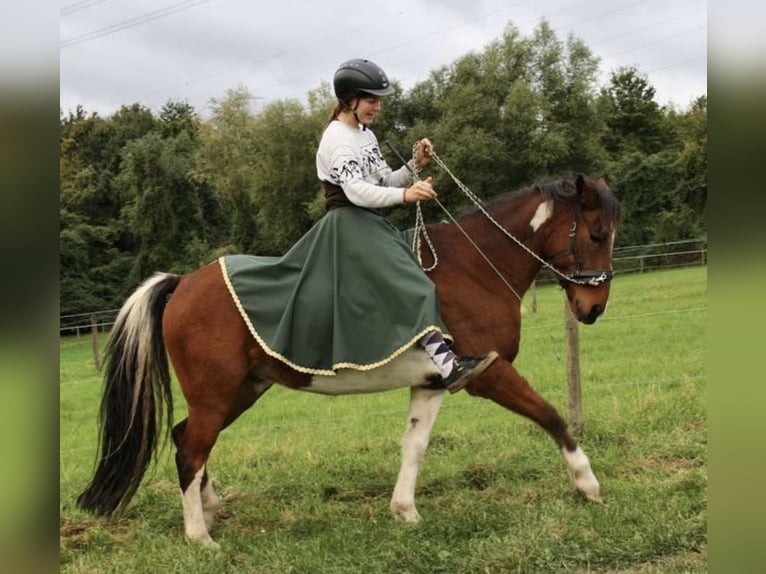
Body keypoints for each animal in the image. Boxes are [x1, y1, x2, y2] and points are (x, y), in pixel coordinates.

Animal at [76, 172, 616, 548]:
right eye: (595, 234)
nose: (594, 309)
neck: (475, 267)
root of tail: (184, 282)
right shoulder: (489, 373)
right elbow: (551, 416)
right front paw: (588, 484)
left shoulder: (433, 383)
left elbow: (414, 446)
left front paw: (404, 511)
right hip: (217, 393)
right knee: (191, 449)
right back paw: (199, 537)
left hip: (241, 390)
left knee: (186, 437)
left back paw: (209, 511)